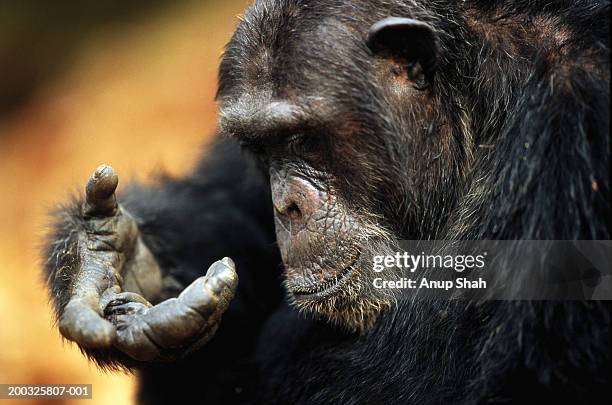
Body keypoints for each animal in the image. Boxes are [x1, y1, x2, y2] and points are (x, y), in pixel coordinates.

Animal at [41, 0, 608, 402]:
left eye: (303, 139)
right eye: (260, 147)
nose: (285, 206)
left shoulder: (573, 128)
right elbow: (235, 214)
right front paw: (108, 259)